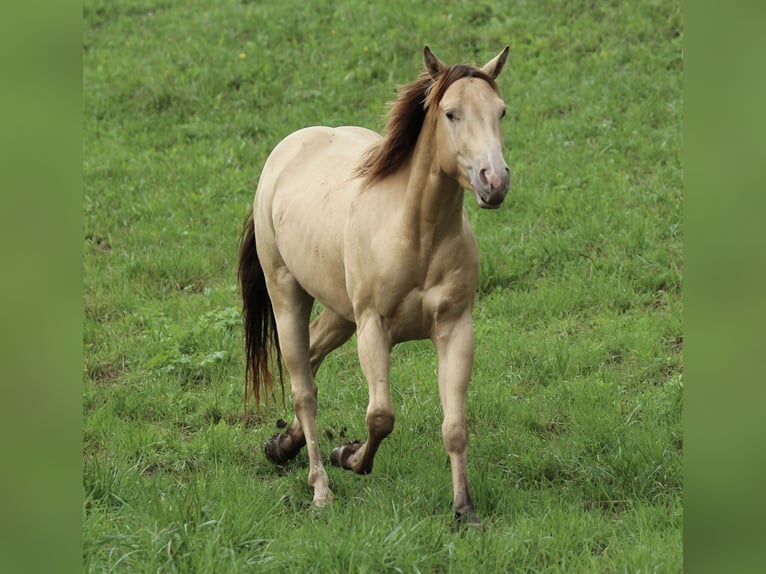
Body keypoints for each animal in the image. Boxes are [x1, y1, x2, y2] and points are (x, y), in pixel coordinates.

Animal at [237, 46, 510, 523]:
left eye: (501, 111)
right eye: (451, 113)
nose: (494, 181)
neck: (416, 234)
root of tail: (288, 148)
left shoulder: (455, 328)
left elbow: (455, 427)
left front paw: (465, 510)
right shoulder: (373, 328)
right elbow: (381, 416)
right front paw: (348, 456)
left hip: (339, 313)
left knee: (311, 355)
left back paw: (282, 446)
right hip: (287, 294)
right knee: (304, 387)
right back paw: (320, 489)